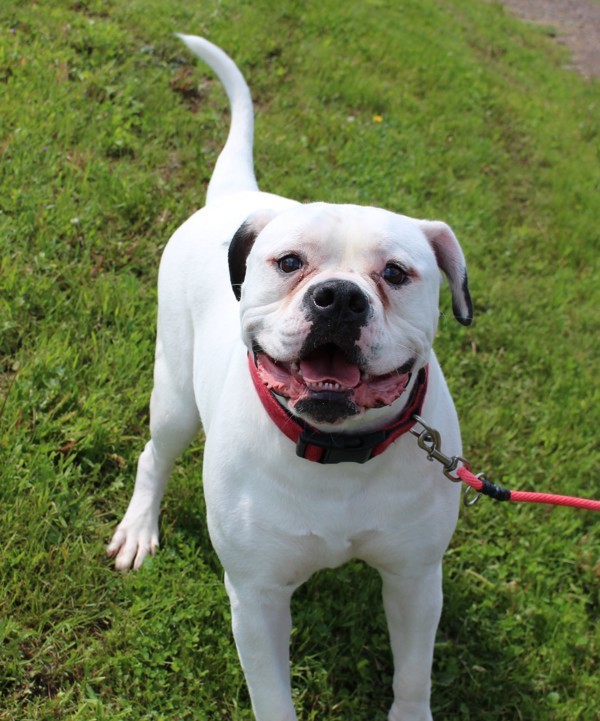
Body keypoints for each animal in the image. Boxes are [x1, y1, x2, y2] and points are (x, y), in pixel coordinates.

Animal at [108, 35, 474, 720]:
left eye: (396, 273)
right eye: (289, 263)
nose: (339, 298)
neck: (338, 453)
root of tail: (235, 198)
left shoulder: (415, 579)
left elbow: (413, 676)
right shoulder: (257, 600)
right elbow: (273, 697)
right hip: (174, 397)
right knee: (154, 454)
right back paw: (140, 527)